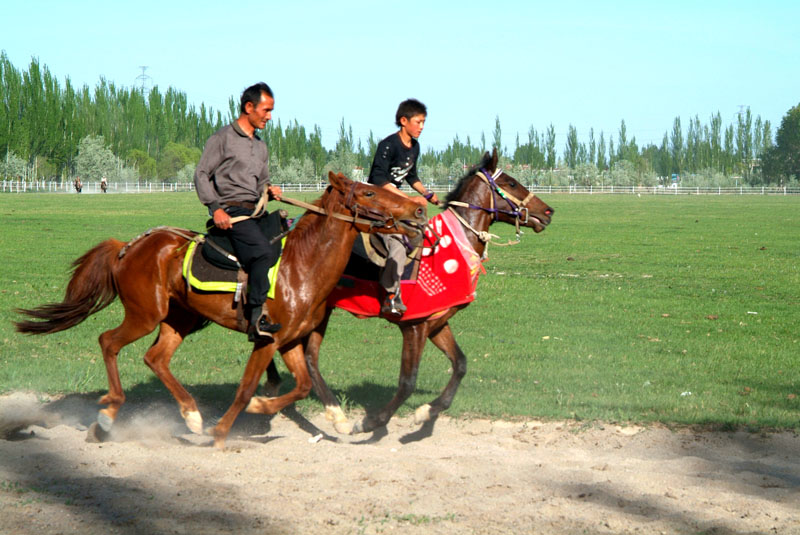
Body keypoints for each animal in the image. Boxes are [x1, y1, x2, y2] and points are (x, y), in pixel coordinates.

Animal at [14, 173, 424, 448]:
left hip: (179, 319)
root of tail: (127, 246)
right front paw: (227, 427)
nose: (418, 209)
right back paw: (108, 415)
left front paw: (261, 407)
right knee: (108, 342)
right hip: (145, 315)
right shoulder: (266, 340)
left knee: (155, 358)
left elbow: (303, 385)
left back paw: (189, 415)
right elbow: (244, 390)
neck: (302, 265)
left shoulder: (291, 342)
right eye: (369, 191)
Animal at [278, 150, 552, 436]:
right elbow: (408, 381)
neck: (450, 247)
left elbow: (460, 364)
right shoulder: (414, 326)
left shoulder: (436, 322)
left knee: (307, 356)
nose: (548, 211)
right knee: (309, 356)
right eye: (511, 183)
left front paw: (426, 412)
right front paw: (372, 421)